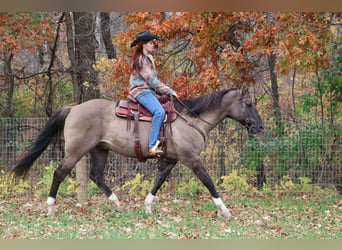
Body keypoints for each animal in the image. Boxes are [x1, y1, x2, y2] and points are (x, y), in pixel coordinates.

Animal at [10, 88, 262, 219]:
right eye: (249, 104)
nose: (259, 127)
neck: (191, 120)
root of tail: (73, 108)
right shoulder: (192, 159)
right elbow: (209, 182)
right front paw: (224, 210)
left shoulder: (171, 160)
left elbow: (158, 181)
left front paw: (148, 207)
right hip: (76, 151)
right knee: (59, 173)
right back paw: (51, 207)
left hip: (100, 150)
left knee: (96, 176)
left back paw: (117, 204)